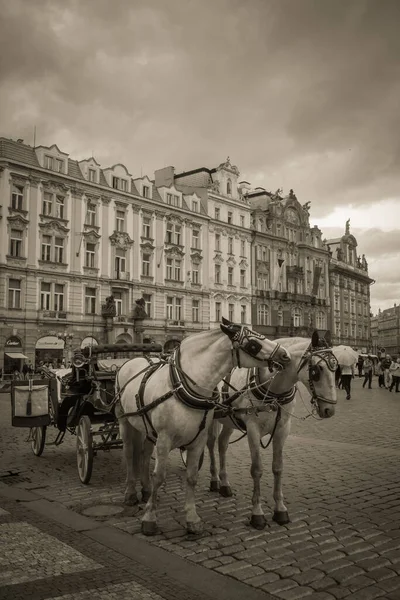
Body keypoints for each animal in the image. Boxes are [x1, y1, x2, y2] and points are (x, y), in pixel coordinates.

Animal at [115, 318, 290, 536]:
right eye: (253, 344)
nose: (285, 355)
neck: (184, 386)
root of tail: (131, 360)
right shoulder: (164, 439)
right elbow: (159, 476)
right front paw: (149, 519)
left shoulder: (197, 440)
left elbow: (191, 477)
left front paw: (192, 519)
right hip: (125, 422)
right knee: (129, 454)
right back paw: (131, 493)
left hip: (146, 428)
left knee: (145, 456)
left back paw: (146, 491)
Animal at [206, 328, 338, 528]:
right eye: (317, 370)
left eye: (336, 368)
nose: (329, 410)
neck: (273, 390)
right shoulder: (252, 429)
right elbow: (257, 469)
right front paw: (257, 513)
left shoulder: (283, 429)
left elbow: (278, 467)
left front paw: (280, 509)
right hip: (211, 418)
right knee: (211, 444)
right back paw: (214, 480)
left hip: (230, 420)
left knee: (222, 445)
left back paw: (225, 484)